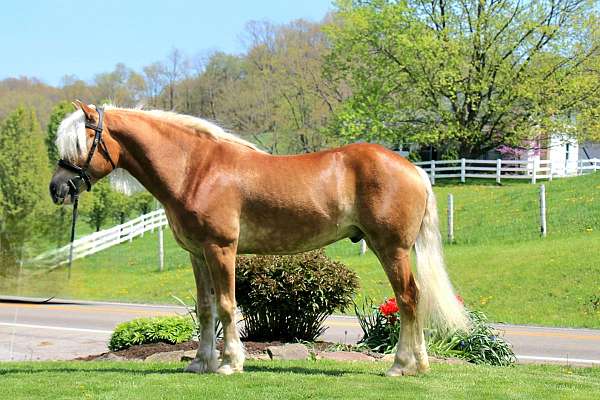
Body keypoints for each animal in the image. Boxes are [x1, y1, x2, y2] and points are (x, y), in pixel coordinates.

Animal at [49, 101, 468, 376]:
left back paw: (400, 366)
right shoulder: (197, 254)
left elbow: (227, 305)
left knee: (408, 299)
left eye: (81, 143)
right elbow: (206, 309)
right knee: (414, 298)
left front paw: (230, 363)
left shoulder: (221, 249)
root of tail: (414, 168)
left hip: (391, 248)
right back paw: (420, 364)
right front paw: (201, 362)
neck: (195, 169)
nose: (57, 189)